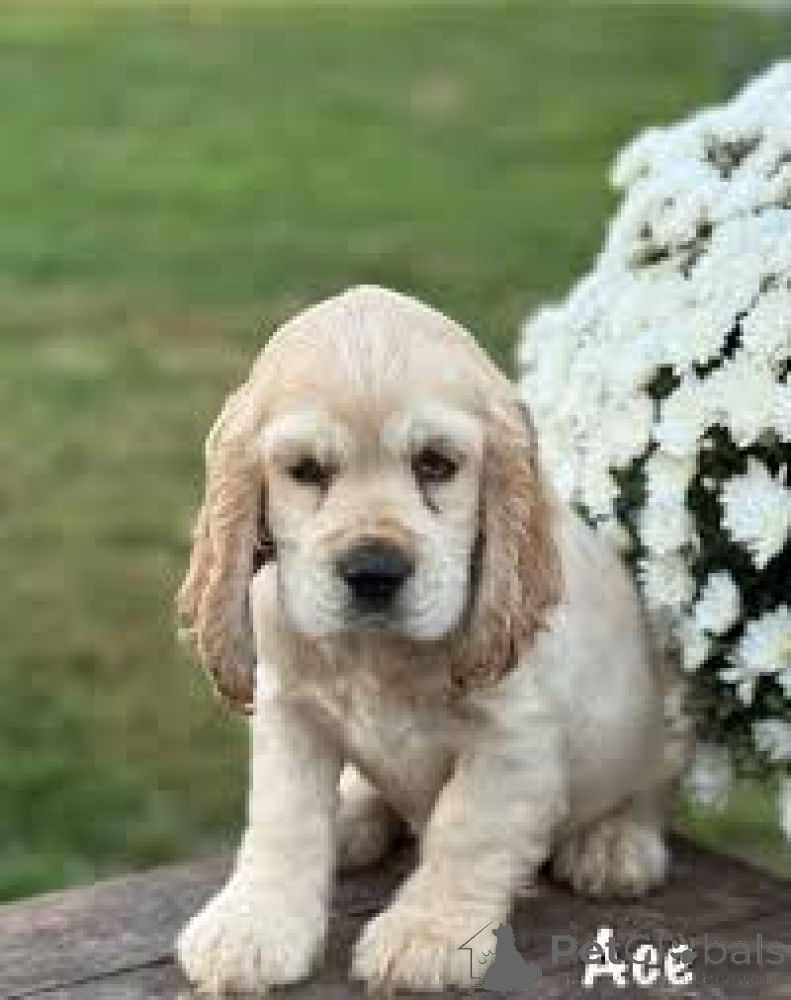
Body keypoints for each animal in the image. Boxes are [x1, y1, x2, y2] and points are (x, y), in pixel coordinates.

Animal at [175, 285, 681, 995]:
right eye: (305, 470)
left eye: (436, 464)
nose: (373, 572)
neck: (378, 658)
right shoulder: (290, 716)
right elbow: (283, 822)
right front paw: (251, 929)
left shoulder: (512, 742)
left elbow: (465, 831)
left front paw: (424, 937)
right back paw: (354, 815)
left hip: (663, 722)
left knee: (650, 784)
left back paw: (614, 844)